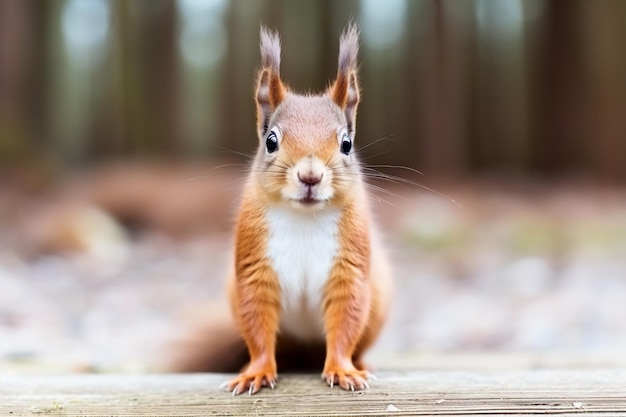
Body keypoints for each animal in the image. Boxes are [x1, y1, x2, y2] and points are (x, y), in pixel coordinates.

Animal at [166, 24, 390, 394]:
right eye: (271, 141)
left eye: (346, 143)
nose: (310, 176)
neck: (304, 217)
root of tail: (306, 352)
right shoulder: (254, 269)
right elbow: (258, 328)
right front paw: (256, 371)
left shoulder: (350, 270)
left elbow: (346, 322)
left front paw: (343, 370)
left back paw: (361, 364)